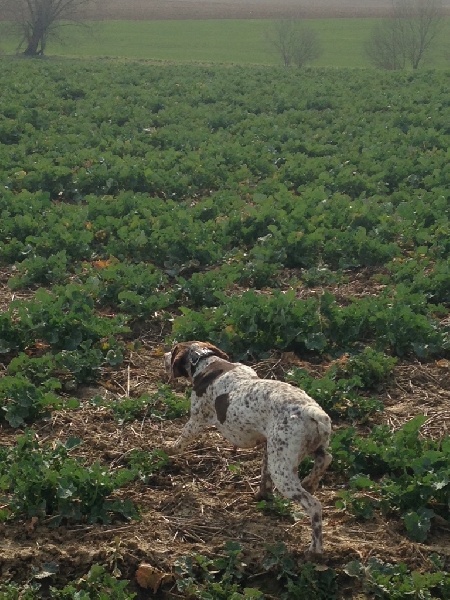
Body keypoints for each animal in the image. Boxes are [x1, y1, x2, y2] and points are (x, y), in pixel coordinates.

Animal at [163, 340, 332, 556]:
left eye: (173, 349)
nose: (164, 355)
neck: (205, 360)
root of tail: (312, 412)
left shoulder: (197, 420)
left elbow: (181, 440)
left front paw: (168, 448)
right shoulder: (268, 445)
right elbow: (264, 477)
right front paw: (262, 495)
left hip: (283, 473)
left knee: (315, 506)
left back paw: (314, 549)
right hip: (299, 451)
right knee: (325, 458)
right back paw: (311, 481)